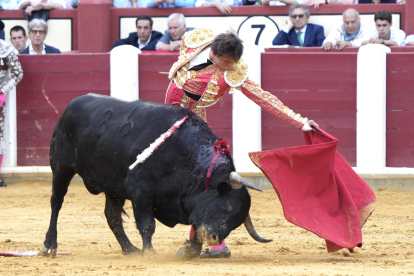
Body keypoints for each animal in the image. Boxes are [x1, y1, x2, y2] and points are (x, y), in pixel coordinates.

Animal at [42, 94, 272, 258]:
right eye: (228, 205)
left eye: (237, 221)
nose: (215, 238)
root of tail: (71, 105)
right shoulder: (140, 191)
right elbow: (147, 224)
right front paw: (150, 252)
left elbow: (196, 226)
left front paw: (190, 251)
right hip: (61, 168)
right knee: (56, 203)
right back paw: (49, 245)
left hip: (113, 187)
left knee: (112, 216)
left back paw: (129, 249)